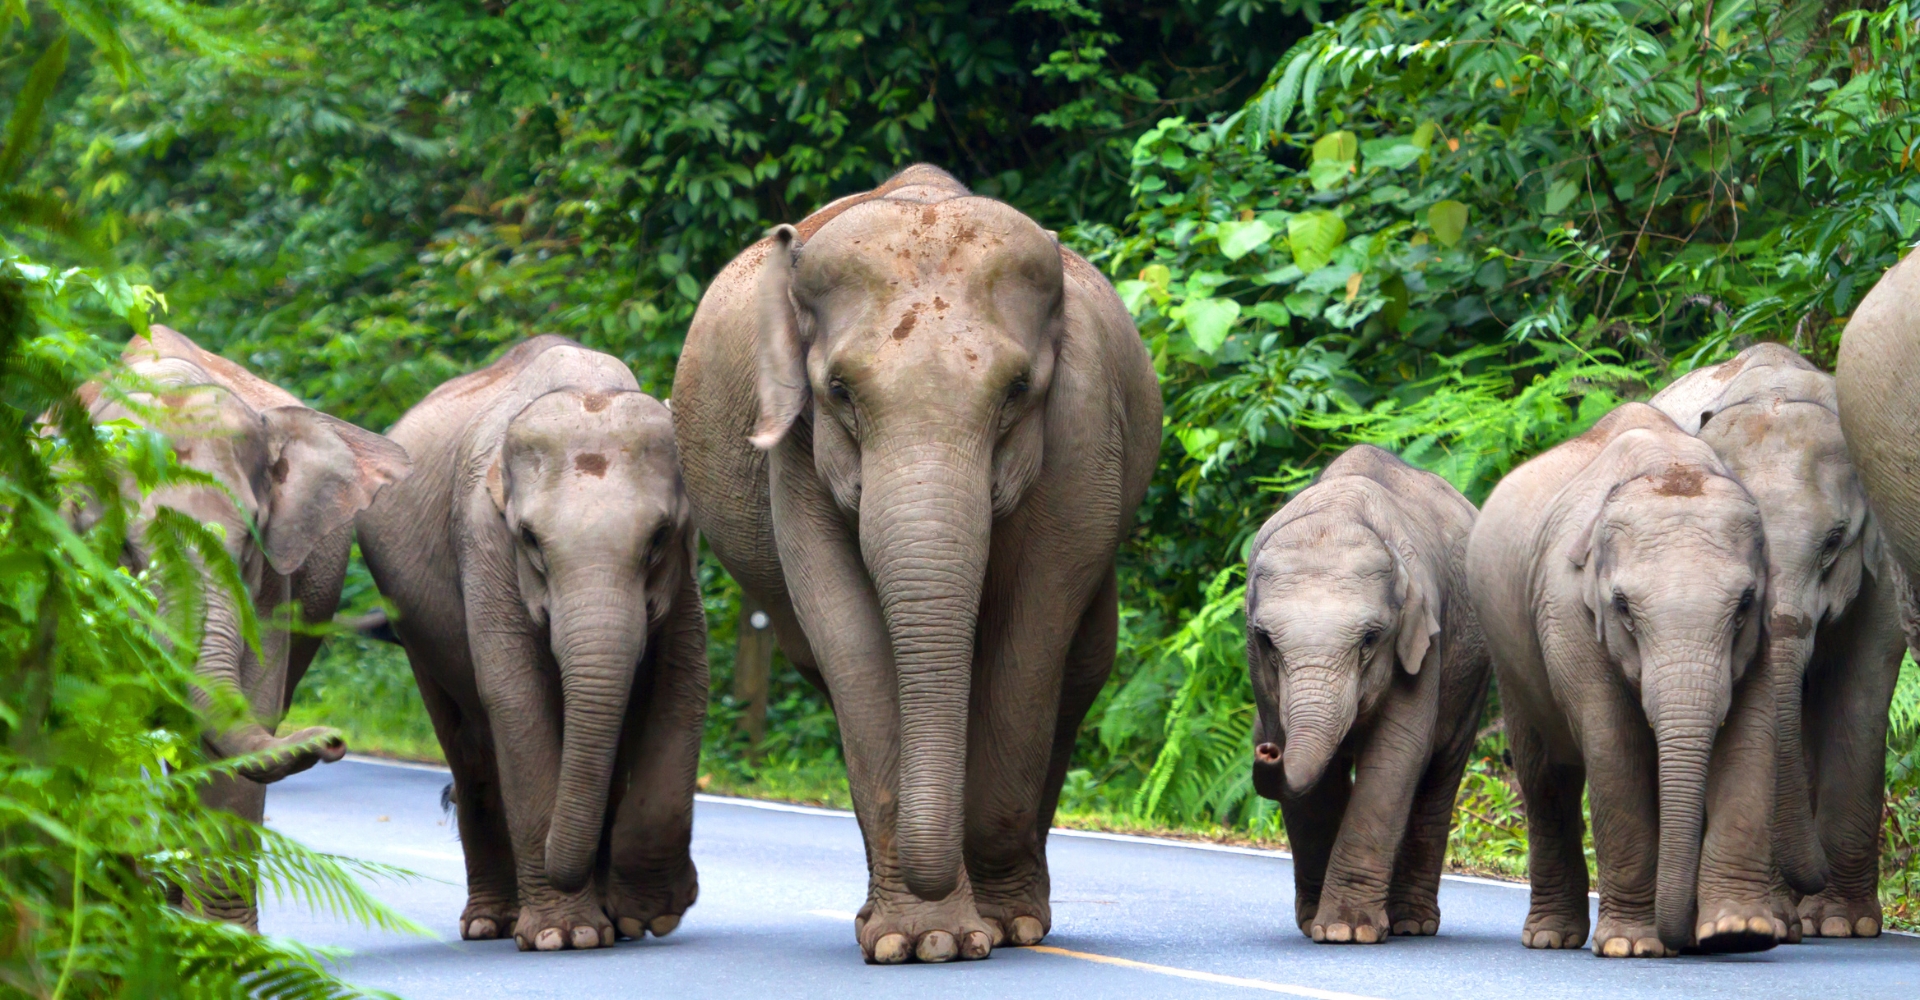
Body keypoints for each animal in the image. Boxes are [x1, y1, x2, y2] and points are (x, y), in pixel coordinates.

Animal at [78, 324, 411, 926]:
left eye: (251, 537)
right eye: (126, 548)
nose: (333, 739)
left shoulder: (276, 581)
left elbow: (244, 718)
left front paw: (219, 939)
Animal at [356, 336, 707, 952]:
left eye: (659, 537)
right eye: (531, 540)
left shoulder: (686, 569)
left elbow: (683, 684)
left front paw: (646, 915)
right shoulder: (482, 542)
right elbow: (515, 697)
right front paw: (565, 936)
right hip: (413, 625)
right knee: (469, 749)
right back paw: (490, 923)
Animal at [671, 164, 1161, 964]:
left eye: (1017, 391)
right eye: (840, 391)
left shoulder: (1084, 433)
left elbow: (1033, 634)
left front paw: (995, 929)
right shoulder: (795, 456)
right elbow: (848, 636)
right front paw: (921, 940)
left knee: (1082, 666)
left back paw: (1019, 918)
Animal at [1245, 445, 1490, 944]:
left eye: (1370, 639)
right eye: (1266, 641)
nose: (1266, 749)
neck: (1337, 512)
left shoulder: (1424, 640)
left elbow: (1396, 756)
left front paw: (1346, 931)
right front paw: (1324, 926)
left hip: (1473, 676)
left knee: (1439, 775)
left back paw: (1413, 924)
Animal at [1466, 402, 1785, 957]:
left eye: (1744, 604)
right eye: (1622, 608)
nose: (1687, 943)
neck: (1671, 464)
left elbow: (1750, 738)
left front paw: (1737, 933)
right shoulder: (1565, 611)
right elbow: (1613, 746)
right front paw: (1633, 946)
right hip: (1509, 657)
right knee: (1545, 778)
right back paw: (1551, 937)